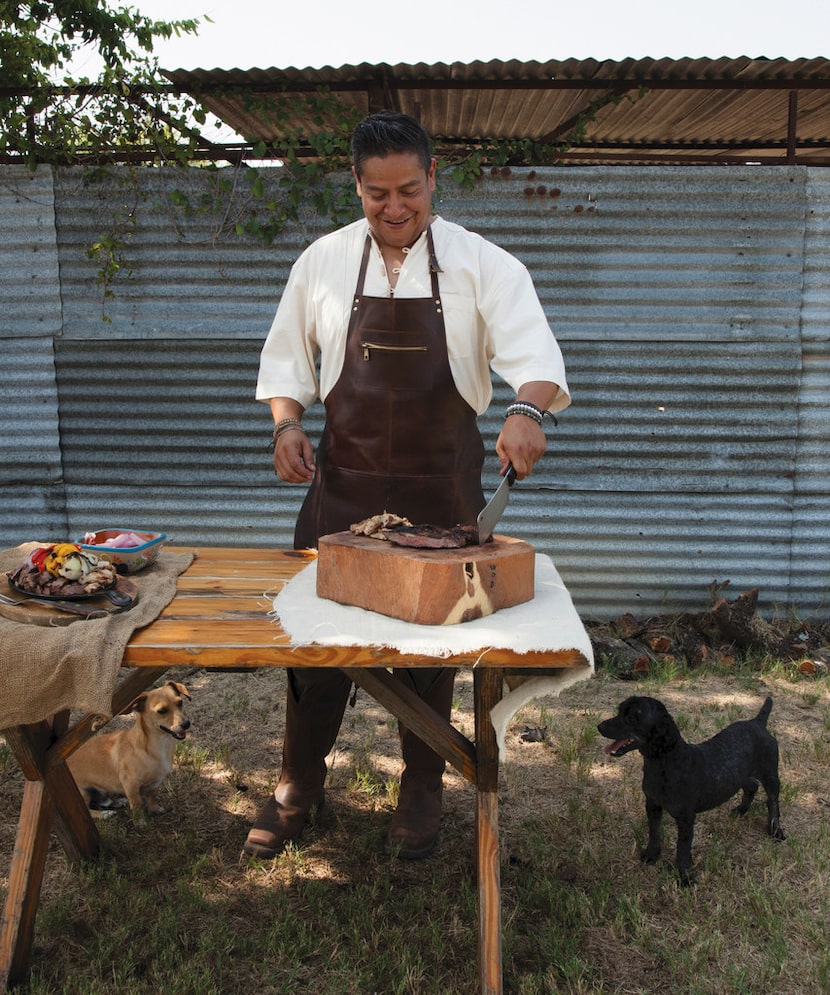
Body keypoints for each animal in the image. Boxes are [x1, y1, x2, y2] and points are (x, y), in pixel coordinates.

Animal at [67, 676, 193, 824]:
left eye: (180, 703)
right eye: (162, 711)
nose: (186, 724)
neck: (160, 745)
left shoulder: (156, 782)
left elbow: (152, 796)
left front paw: (154, 809)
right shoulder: (131, 785)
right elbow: (137, 804)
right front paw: (140, 822)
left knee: (103, 802)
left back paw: (118, 802)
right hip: (83, 793)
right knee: (89, 810)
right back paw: (105, 814)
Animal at [600, 696, 788, 884]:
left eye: (632, 717)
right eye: (620, 710)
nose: (600, 726)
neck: (667, 762)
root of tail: (758, 722)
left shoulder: (686, 817)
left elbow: (683, 847)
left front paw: (685, 877)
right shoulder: (653, 804)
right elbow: (654, 833)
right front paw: (651, 855)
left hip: (770, 774)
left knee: (773, 801)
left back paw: (775, 830)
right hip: (740, 774)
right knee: (752, 785)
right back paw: (741, 810)